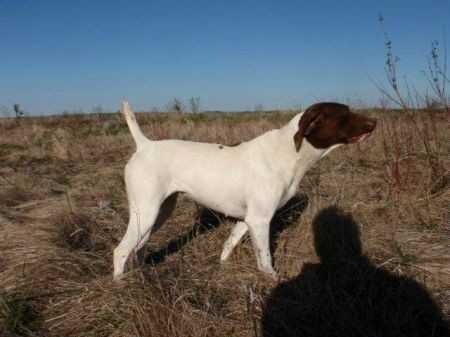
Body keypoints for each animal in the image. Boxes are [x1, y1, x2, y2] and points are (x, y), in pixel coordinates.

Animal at [113, 100, 376, 278]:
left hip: (158, 214)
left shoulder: (247, 219)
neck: (287, 152)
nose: (375, 122)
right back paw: (123, 286)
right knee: (121, 251)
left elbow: (228, 245)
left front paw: (223, 268)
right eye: (344, 114)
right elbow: (265, 261)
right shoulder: (260, 221)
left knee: (139, 247)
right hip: (146, 212)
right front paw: (273, 283)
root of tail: (144, 145)